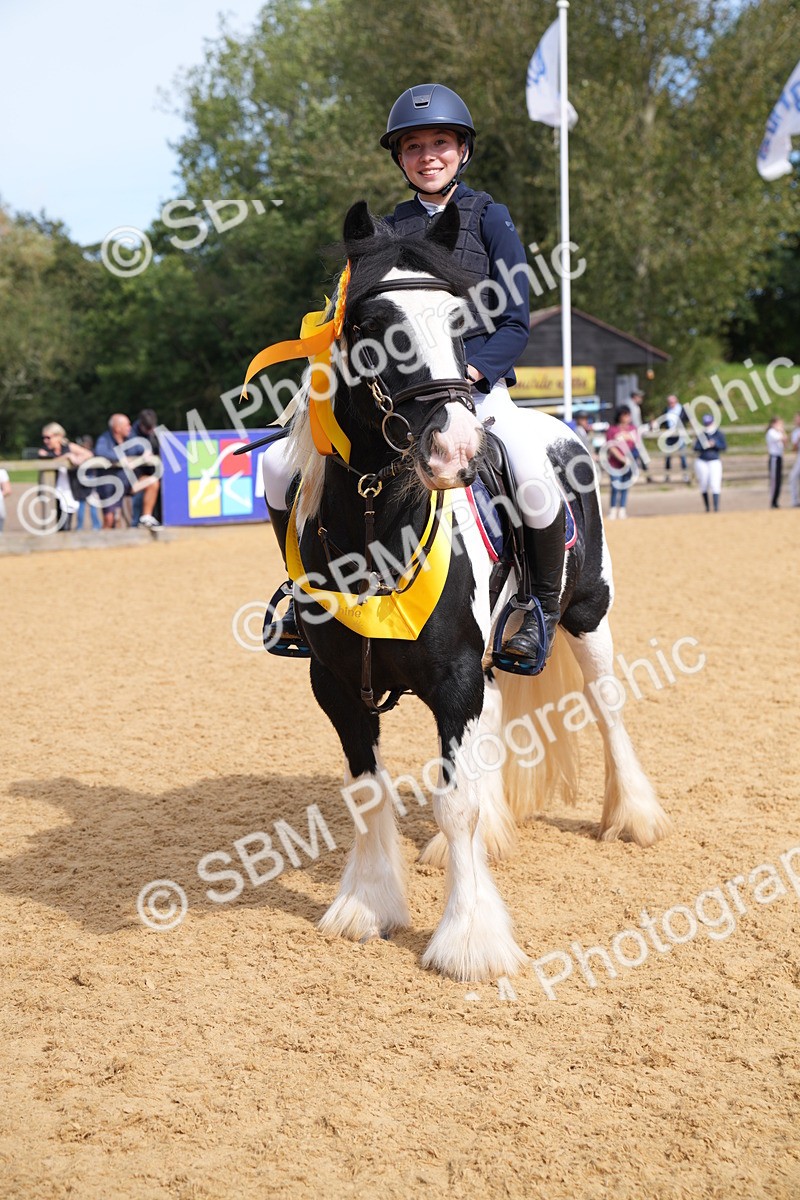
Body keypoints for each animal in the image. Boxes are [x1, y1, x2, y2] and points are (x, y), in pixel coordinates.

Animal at [273, 199, 671, 982]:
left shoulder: (454, 677)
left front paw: (468, 940)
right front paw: (366, 905)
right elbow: (367, 791)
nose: (455, 449)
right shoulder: (337, 684)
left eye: (464, 320)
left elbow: (454, 804)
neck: (378, 525)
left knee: (607, 707)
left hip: (588, 616)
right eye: (369, 323)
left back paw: (633, 818)